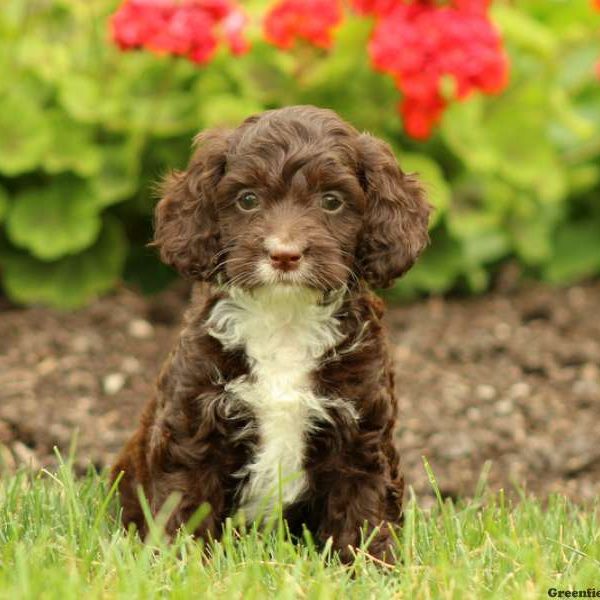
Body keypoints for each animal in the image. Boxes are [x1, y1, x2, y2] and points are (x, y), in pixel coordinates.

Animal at [111, 104, 432, 564]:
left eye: (332, 201)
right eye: (248, 199)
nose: (284, 254)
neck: (284, 319)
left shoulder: (361, 435)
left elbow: (365, 510)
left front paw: (372, 568)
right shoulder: (193, 427)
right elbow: (184, 502)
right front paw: (179, 564)